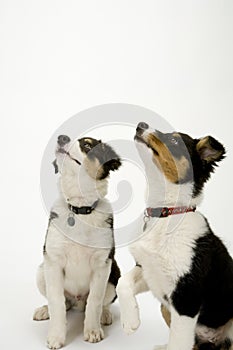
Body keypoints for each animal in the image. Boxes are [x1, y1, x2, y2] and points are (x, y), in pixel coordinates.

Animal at [33, 134, 121, 348]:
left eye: (87, 145)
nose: (61, 137)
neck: (80, 210)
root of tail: (77, 300)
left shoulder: (102, 264)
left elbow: (95, 301)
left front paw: (92, 331)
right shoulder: (53, 261)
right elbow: (56, 302)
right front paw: (56, 336)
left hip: (114, 277)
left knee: (101, 302)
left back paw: (104, 315)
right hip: (41, 272)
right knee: (63, 303)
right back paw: (45, 310)